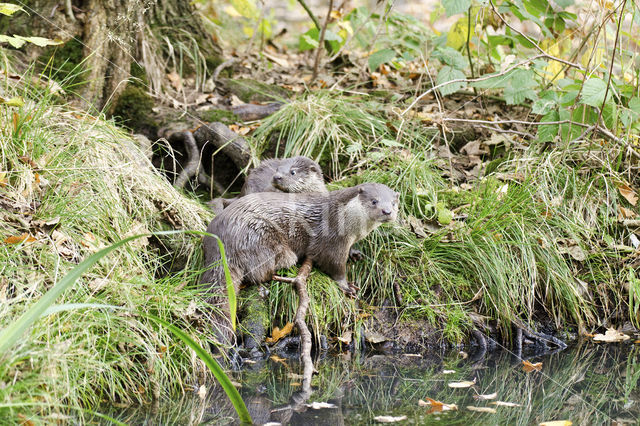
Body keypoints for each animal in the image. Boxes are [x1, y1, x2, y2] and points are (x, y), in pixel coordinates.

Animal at [202, 183, 398, 336]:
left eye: (394, 203)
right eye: (374, 201)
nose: (387, 211)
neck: (345, 218)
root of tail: (219, 241)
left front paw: (355, 253)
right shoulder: (332, 239)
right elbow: (333, 265)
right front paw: (347, 286)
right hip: (258, 237)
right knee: (259, 272)